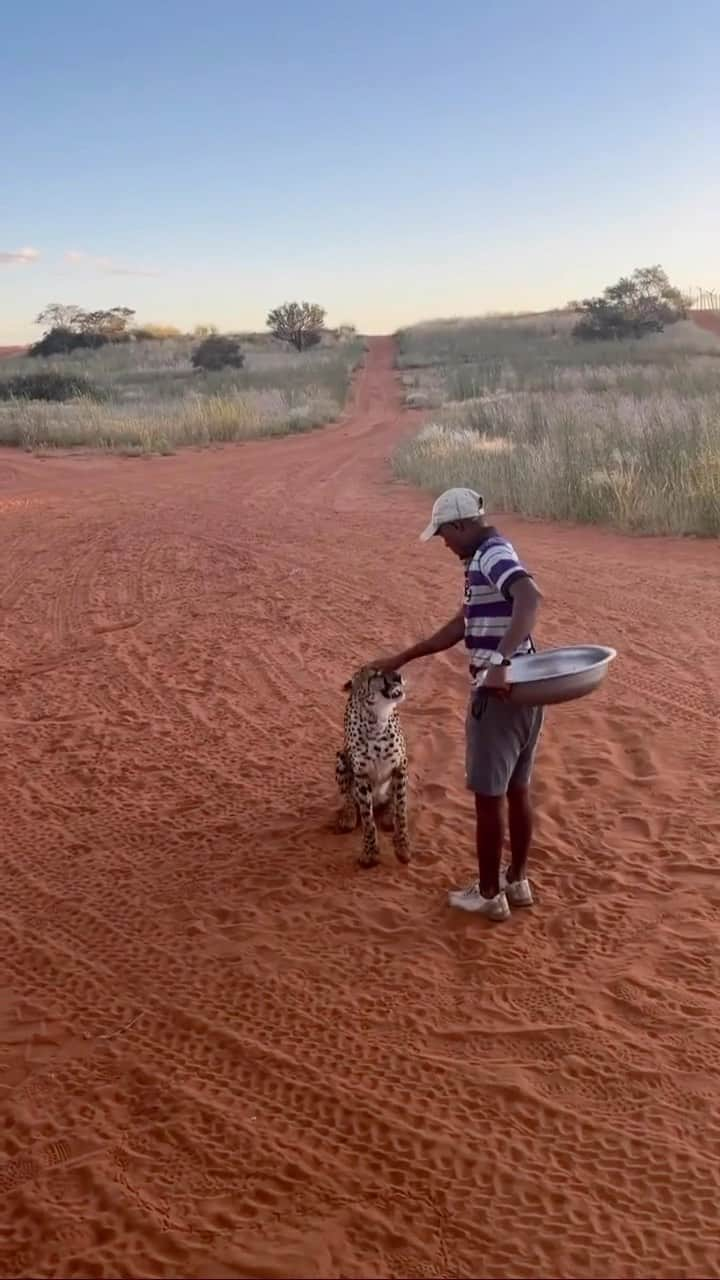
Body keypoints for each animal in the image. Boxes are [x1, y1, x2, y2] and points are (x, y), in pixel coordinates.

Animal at [333, 665, 407, 865]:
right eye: (376, 674)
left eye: (393, 668)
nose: (399, 676)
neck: (377, 719)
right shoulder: (361, 774)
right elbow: (367, 818)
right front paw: (370, 852)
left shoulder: (401, 766)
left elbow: (401, 809)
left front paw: (402, 847)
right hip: (340, 757)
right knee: (348, 797)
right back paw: (349, 815)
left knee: (392, 800)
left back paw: (389, 816)